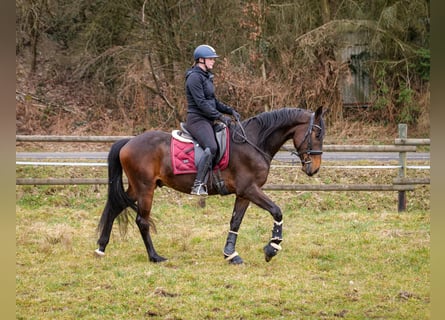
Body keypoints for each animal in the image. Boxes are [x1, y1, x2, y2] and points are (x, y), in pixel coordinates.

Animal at [94, 106, 326, 264]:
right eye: (317, 134)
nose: (314, 169)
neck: (253, 142)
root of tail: (128, 142)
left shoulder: (244, 194)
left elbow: (235, 222)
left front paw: (231, 254)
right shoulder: (250, 189)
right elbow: (277, 211)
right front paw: (272, 248)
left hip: (138, 188)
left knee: (115, 207)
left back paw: (101, 247)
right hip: (145, 188)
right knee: (142, 220)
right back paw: (154, 256)